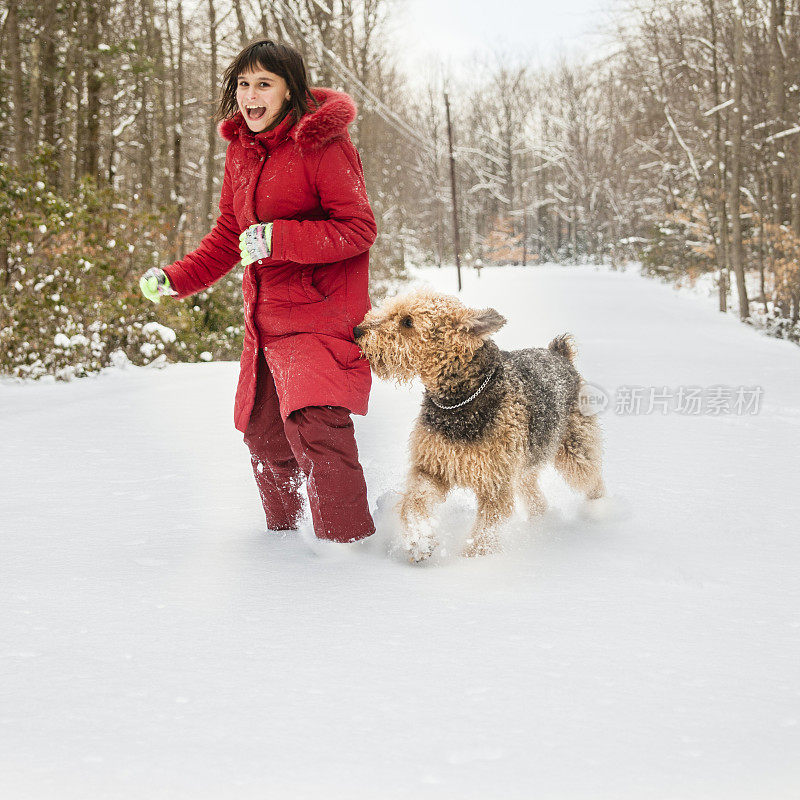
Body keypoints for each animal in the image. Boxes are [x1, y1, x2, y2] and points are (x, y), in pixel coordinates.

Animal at [356, 290, 608, 564]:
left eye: (408, 322)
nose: (357, 331)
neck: (459, 401)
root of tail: (560, 355)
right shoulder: (432, 466)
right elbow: (415, 501)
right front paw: (419, 541)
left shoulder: (494, 483)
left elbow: (485, 530)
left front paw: (473, 561)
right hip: (525, 463)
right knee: (535, 496)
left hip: (575, 452)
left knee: (593, 482)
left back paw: (600, 512)